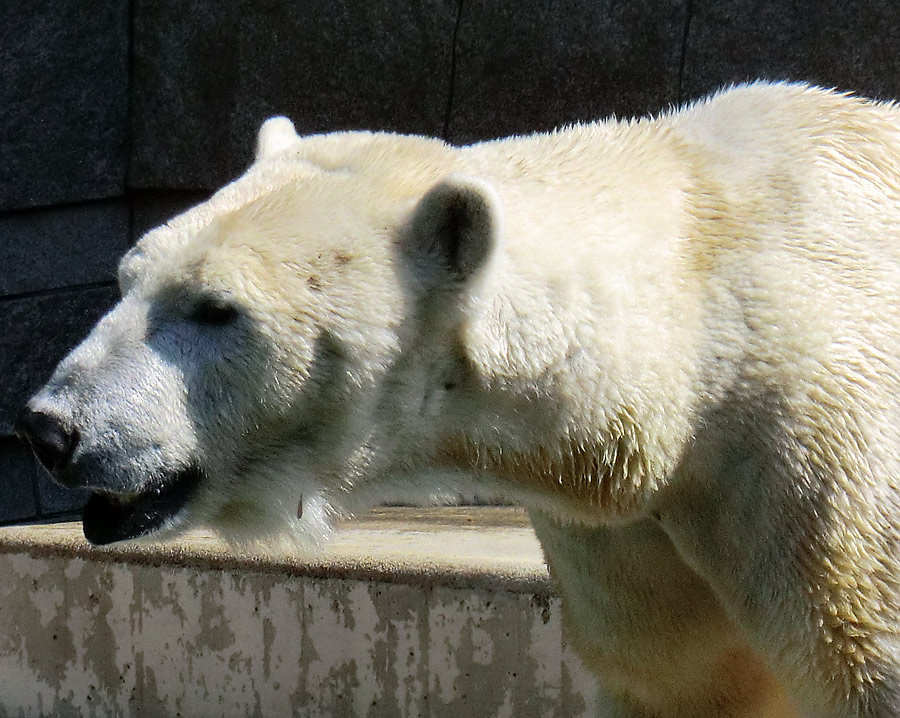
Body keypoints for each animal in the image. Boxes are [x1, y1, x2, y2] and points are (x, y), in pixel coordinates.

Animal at [15, 81, 900, 716]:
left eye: (216, 308)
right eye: (127, 278)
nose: (50, 429)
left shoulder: (812, 457)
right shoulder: (624, 529)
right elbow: (679, 680)